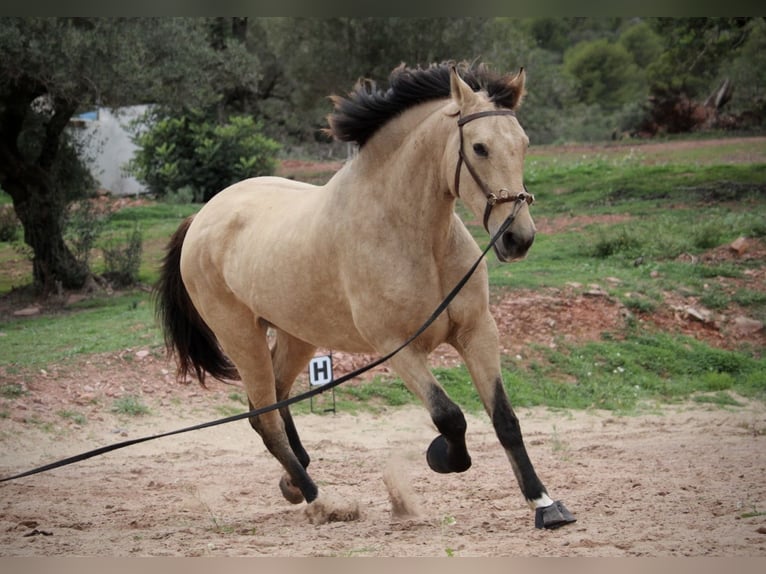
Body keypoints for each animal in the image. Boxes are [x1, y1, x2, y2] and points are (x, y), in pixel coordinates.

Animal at [158, 62, 576, 532]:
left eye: (523, 144)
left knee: (277, 404)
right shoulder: (397, 346)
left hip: (296, 335)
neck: (416, 237)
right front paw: (441, 458)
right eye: (480, 147)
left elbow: (504, 418)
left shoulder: (477, 332)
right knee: (264, 416)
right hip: (240, 336)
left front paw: (544, 503)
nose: (518, 239)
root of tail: (201, 216)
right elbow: (449, 416)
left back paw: (293, 481)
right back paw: (321, 500)